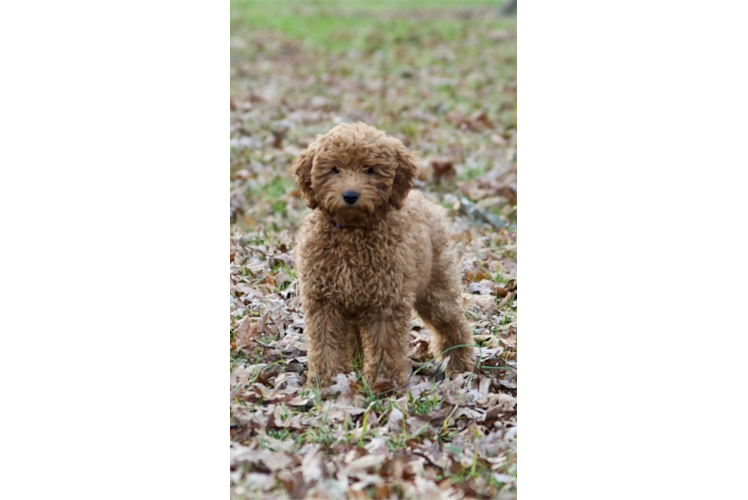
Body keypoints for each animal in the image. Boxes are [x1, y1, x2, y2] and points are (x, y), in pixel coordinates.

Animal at [290, 123, 474, 388]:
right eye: (335, 169)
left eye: (370, 169)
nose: (350, 195)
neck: (352, 232)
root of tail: (424, 201)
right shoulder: (324, 301)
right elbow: (326, 346)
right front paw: (327, 384)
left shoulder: (386, 302)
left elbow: (384, 346)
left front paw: (384, 386)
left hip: (437, 288)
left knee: (453, 324)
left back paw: (459, 365)